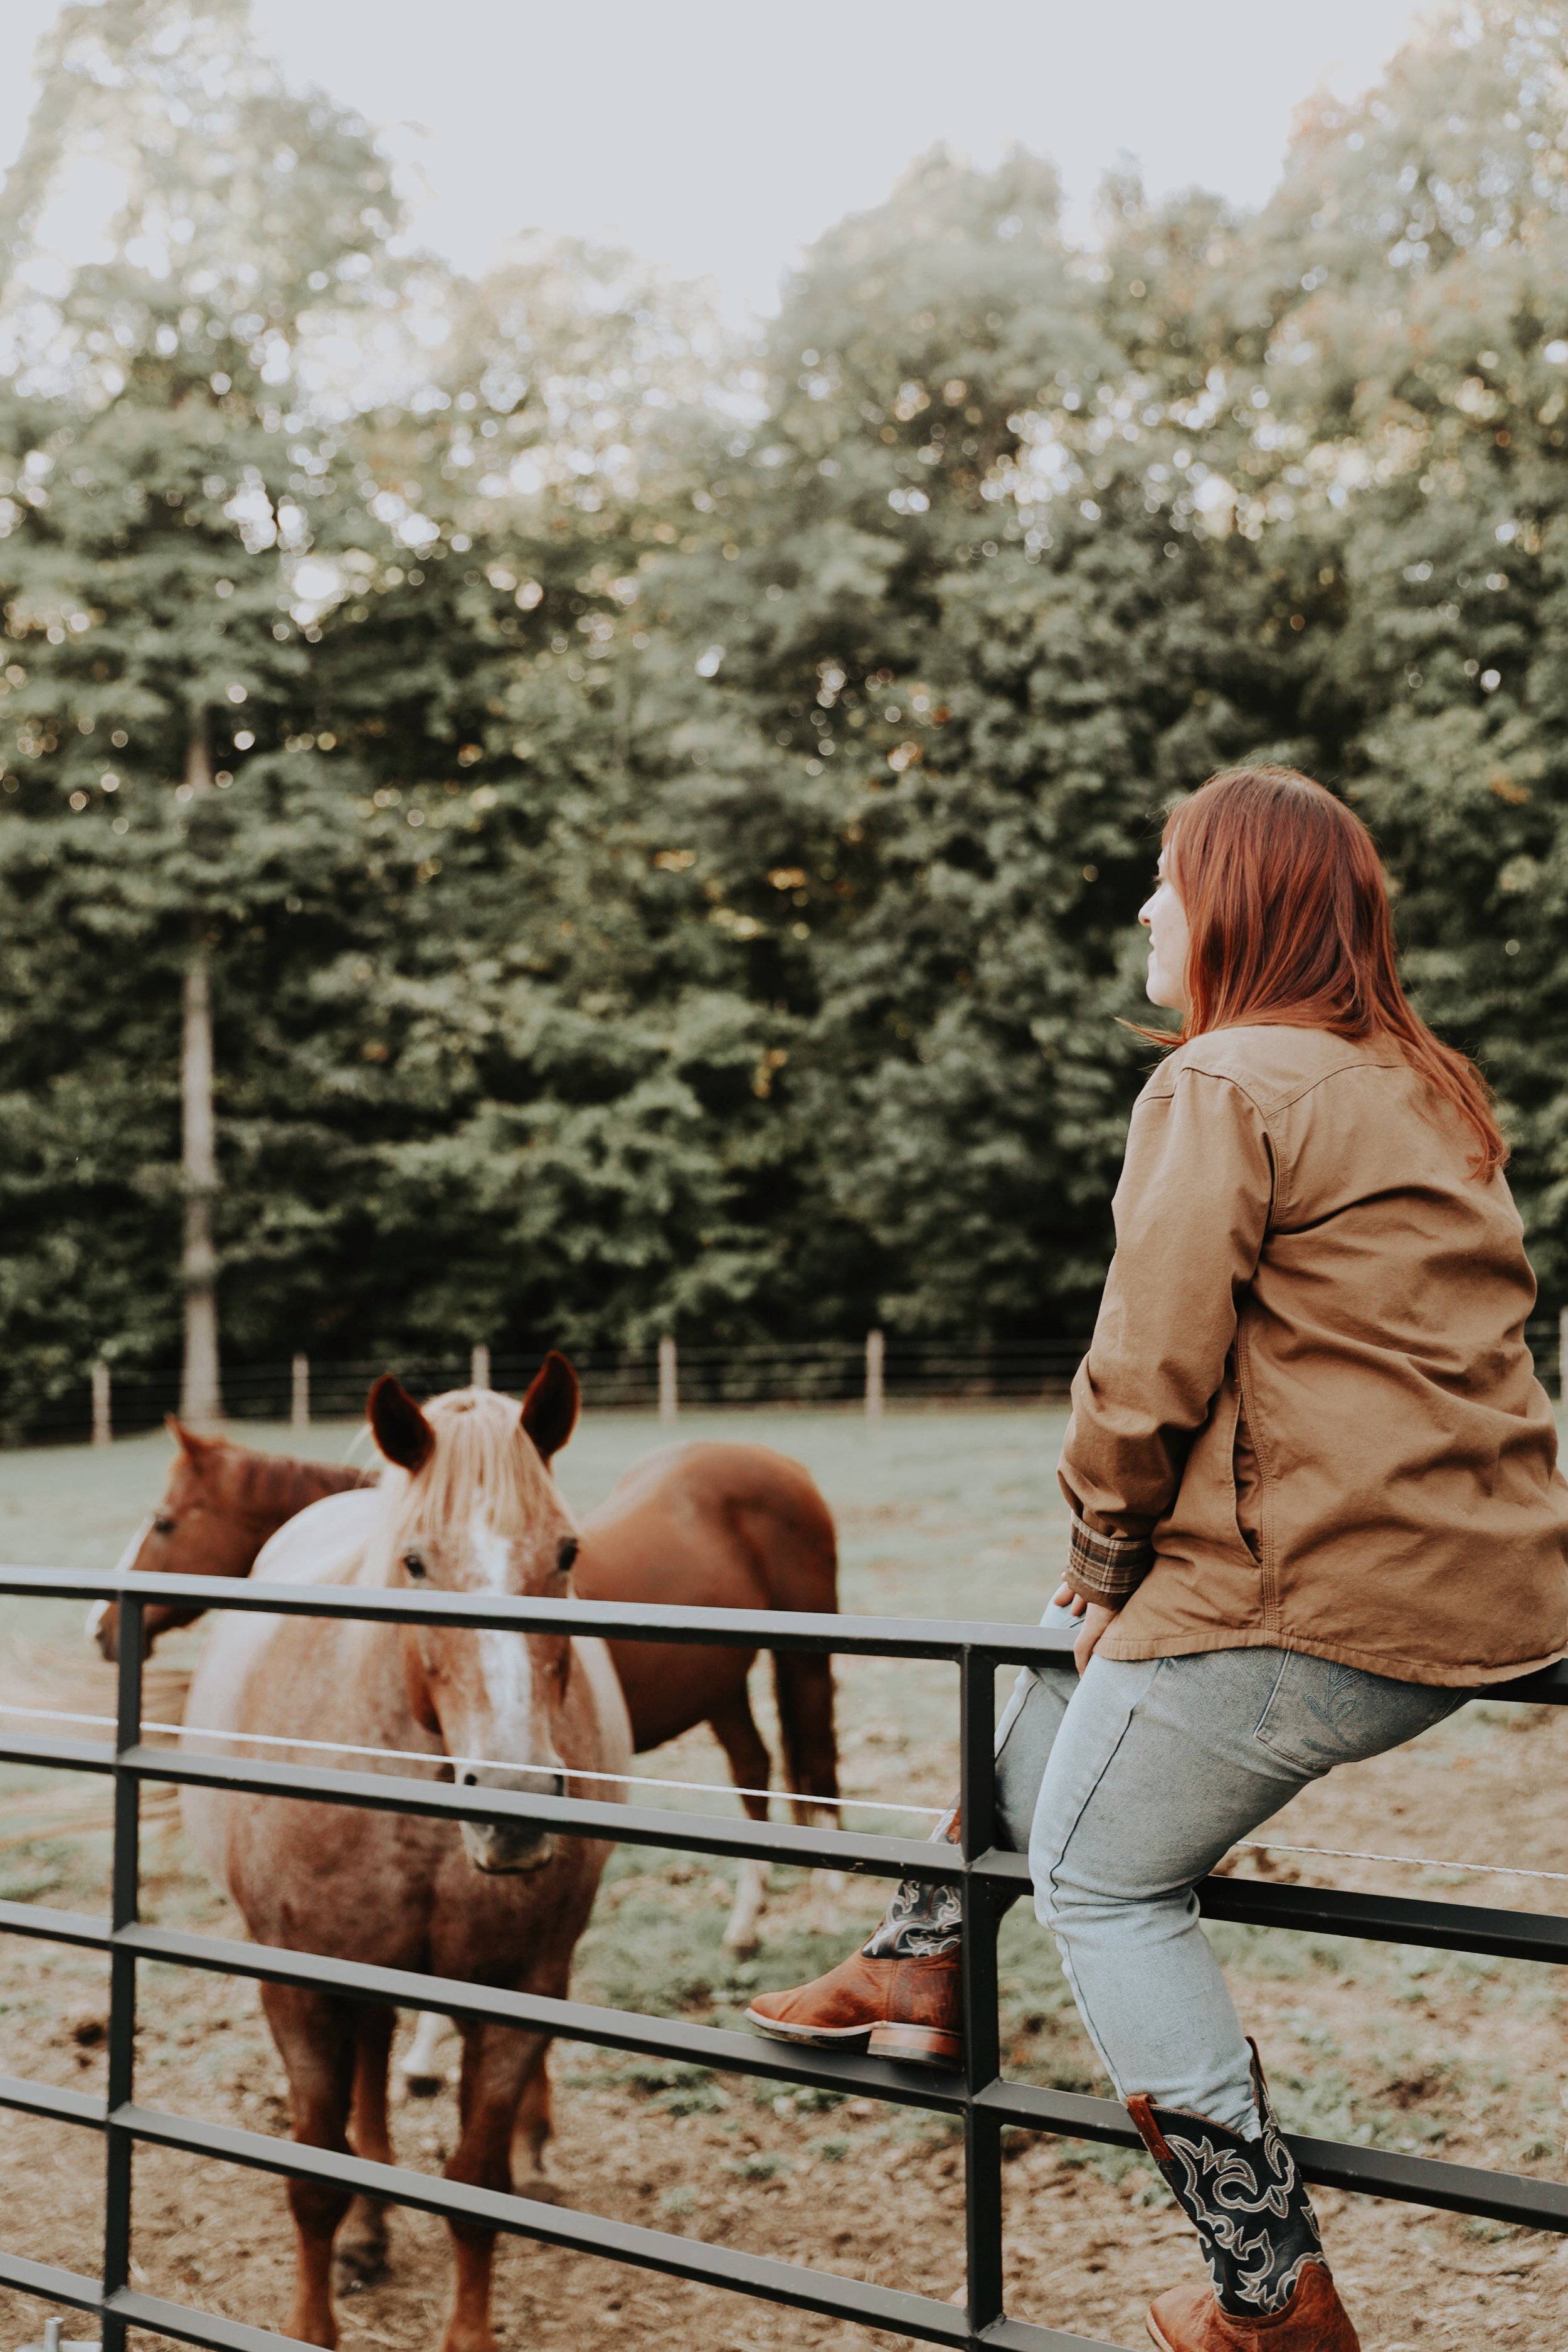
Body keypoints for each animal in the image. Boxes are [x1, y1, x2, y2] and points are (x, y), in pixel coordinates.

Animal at [97, 1403, 840, 1955]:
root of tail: (783, 1466)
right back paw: (744, 1928)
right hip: (723, 1687)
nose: (101, 1628)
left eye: (164, 1523)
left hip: (804, 1664)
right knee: (753, 1768)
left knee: (820, 1768)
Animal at [180, 1360, 630, 2352]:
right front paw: (312, 2321)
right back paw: (366, 2233)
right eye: (415, 1563)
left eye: (568, 1552)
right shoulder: (298, 1985)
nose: (513, 1801)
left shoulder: (518, 1991)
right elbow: (314, 2174)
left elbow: (476, 2188)